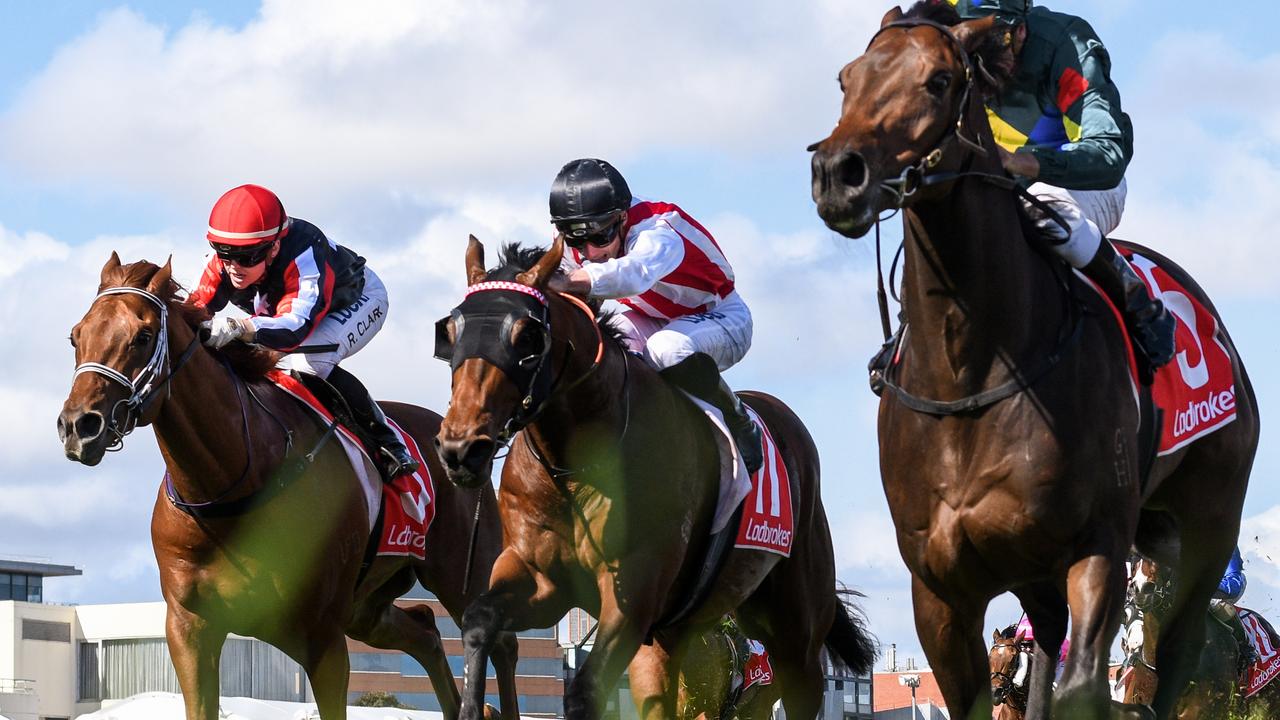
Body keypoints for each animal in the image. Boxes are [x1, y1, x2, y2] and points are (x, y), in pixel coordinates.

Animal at [55, 253, 514, 717]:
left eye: (144, 336)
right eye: (76, 336)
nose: (78, 426)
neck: (230, 485)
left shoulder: (324, 638)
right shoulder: (189, 628)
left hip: (461, 574)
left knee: (501, 642)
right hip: (367, 607)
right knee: (424, 629)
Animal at [435, 237, 875, 717]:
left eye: (526, 337)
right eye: (450, 333)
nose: (461, 448)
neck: (573, 467)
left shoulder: (633, 594)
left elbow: (586, 689)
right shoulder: (541, 579)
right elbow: (480, 621)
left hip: (795, 632)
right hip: (676, 634)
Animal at [808, 2, 1259, 712]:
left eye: (939, 80)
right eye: (847, 79)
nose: (837, 172)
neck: (968, 372)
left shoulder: (1097, 546)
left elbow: (1083, 690)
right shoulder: (940, 588)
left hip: (1208, 523)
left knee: (1178, 652)